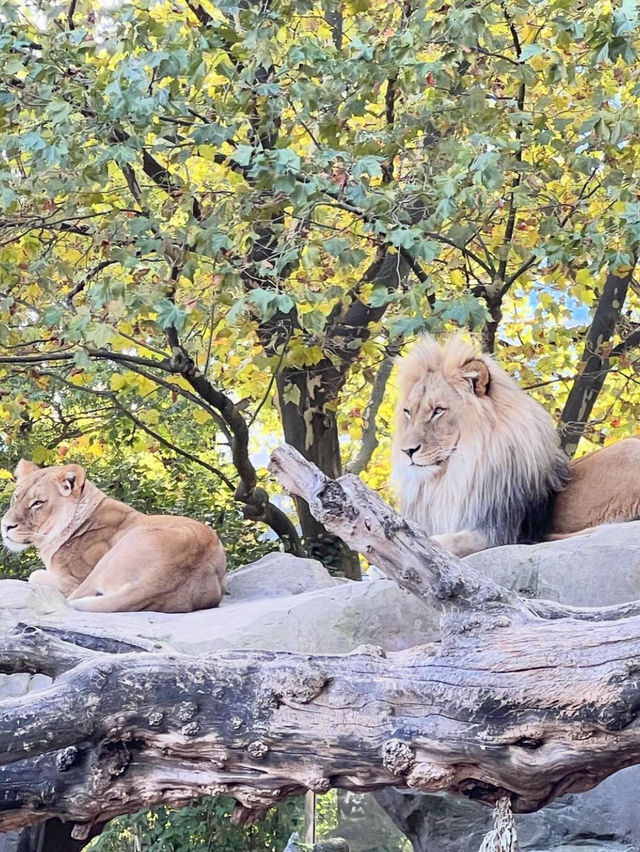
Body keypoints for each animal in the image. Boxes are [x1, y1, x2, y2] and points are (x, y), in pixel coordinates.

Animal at [1, 460, 226, 612]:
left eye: (38, 503)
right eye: (16, 497)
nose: (5, 526)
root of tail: (158, 581)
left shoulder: (73, 580)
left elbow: (35, 574)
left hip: (110, 558)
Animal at [390, 336, 640, 556]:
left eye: (438, 411)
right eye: (408, 412)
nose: (407, 451)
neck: (452, 477)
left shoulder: (497, 531)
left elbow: (443, 542)